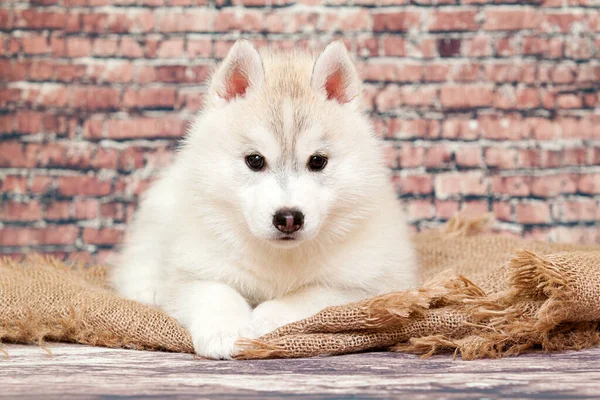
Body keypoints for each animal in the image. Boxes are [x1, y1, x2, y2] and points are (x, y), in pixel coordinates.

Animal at [115, 39, 420, 360]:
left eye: (317, 161)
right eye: (255, 160)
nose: (288, 218)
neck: (280, 257)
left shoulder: (369, 287)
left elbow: (307, 297)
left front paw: (264, 317)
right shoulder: (192, 272)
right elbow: (216, 293)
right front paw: (226, 331)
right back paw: (145, 288)